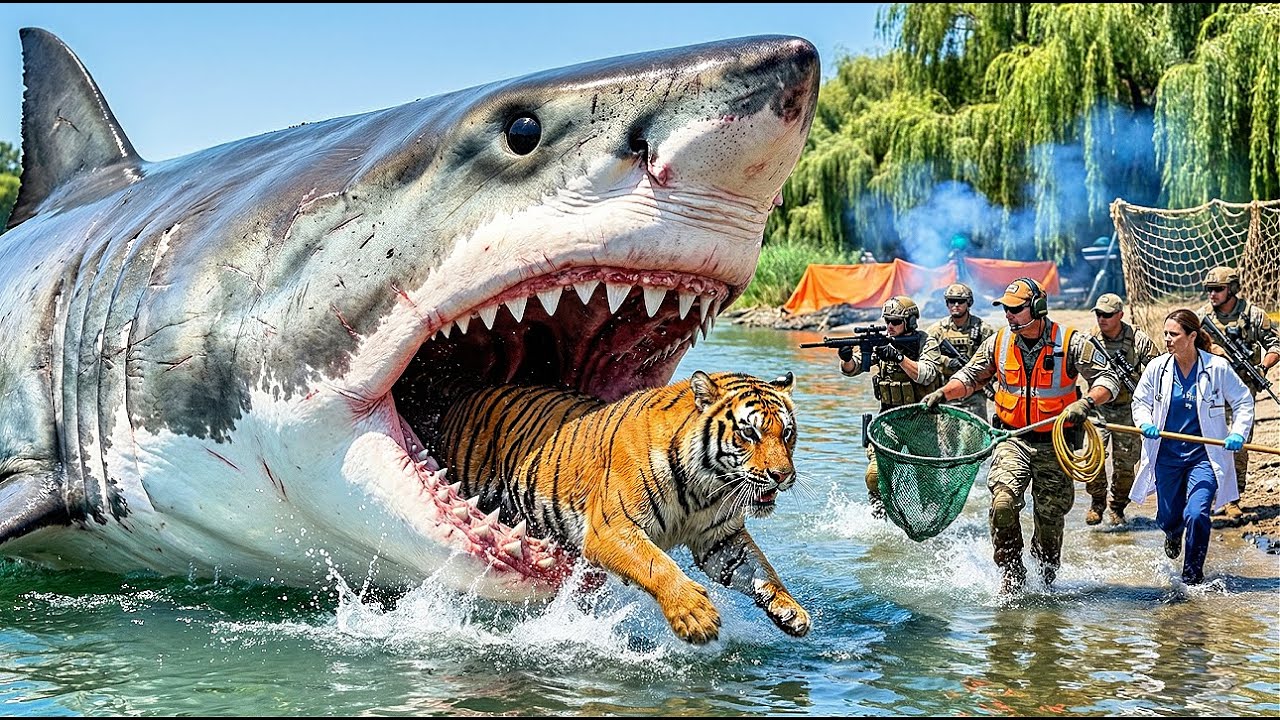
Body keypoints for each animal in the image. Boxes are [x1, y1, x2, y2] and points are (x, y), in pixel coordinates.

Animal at [431, 370, 809, 644]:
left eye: (787, 433)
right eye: (750, 433)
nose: (782, 476)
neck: (705, 487)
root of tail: (469, 392)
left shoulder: (719, 541)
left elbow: (761, 569)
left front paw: (791, 611)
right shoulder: (613, 529)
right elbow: (657, 565)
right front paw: (694, 615)